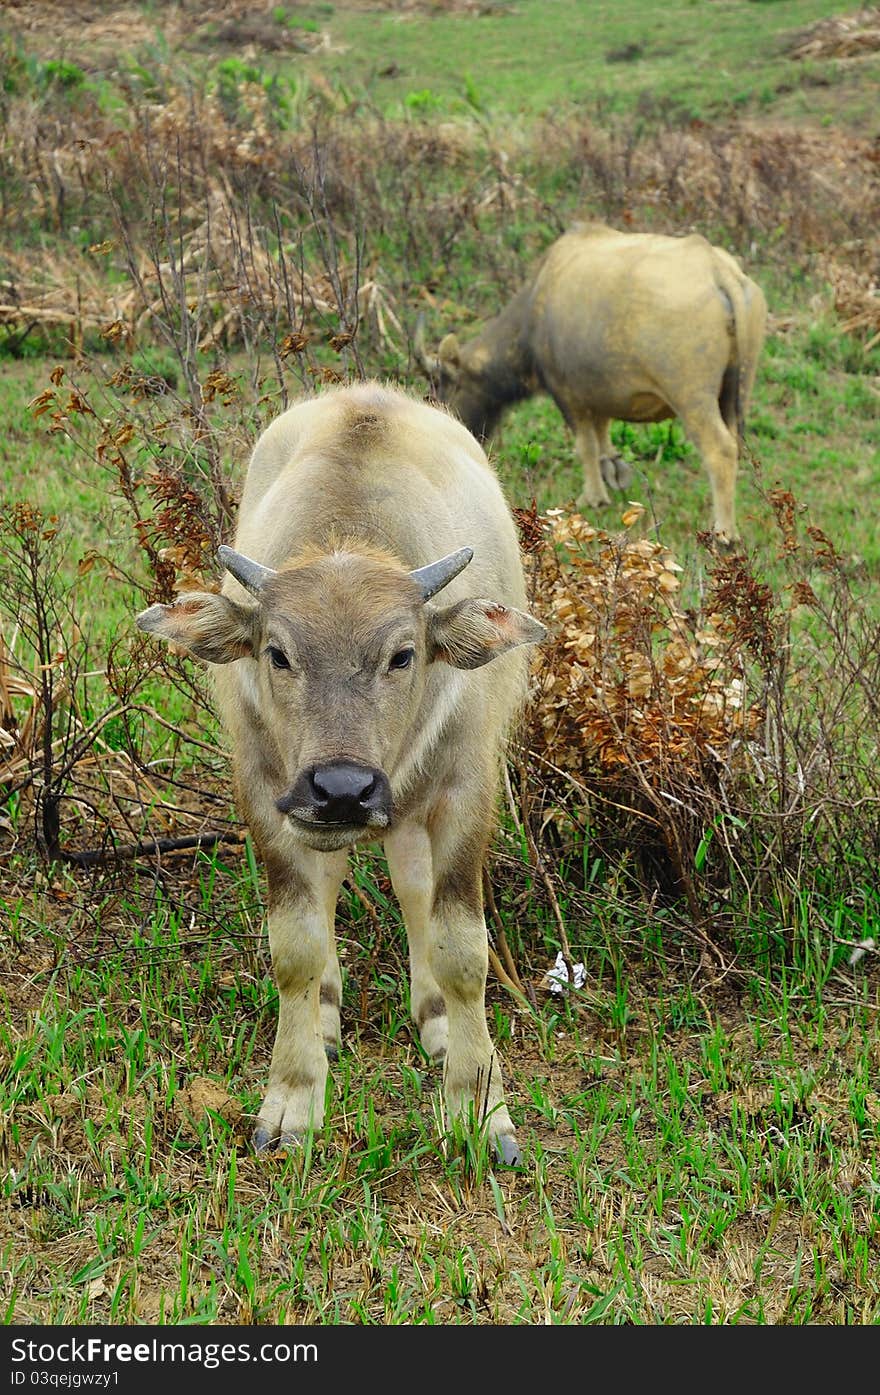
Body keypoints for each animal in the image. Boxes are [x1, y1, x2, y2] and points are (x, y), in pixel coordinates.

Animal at [135, 382, 546, 1166]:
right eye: (278, 652)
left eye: (403, 653)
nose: (342, 790)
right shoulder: (268, 795)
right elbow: (294, 947)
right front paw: (293, 1099)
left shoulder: (466, 790)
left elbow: (462, 951)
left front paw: (480, 1107)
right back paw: (325, 1016)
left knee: (413, 888)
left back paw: (435, 1019)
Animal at [415, 219, 769, 544]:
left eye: (441, 386)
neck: (535, 308)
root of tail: (717, 269)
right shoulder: (597, 392)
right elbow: (602, 435)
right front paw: (612, 470)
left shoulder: (566, 394)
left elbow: (584, 444)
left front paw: (594, 495)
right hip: (737, 390)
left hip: (692, 396)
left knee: (719, 449)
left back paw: (724, 532)